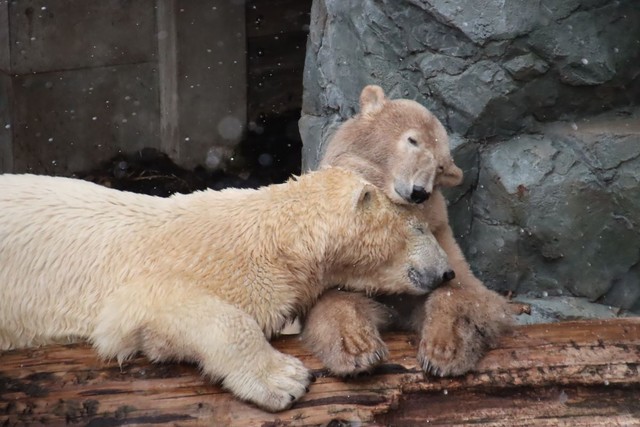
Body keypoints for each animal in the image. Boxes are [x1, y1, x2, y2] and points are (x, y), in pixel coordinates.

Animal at [0, 167, 452, 412]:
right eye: (419, 228)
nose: (447, 272)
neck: (275, 238)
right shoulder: (166, 268)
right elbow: (162, 310)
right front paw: (286, 380)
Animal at [302, 86, 516, 378]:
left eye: (440, 166)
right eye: (412, 140)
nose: (419, 191)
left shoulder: (439, 233)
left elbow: (466, 291)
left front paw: (443, 350)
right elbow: (333, 299)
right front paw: (358, 347)